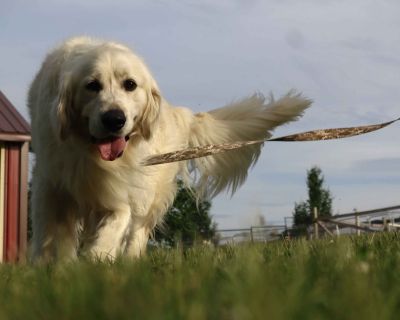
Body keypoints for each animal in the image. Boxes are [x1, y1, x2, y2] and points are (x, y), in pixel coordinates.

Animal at [28, 37, 312, 262]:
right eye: (92, 85)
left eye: (130, 84)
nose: (114, 119)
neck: (90, 152)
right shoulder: (51, 186)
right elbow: (50, 237)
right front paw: (52, 269)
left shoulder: (121, 192)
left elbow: (117, 221)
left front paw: (97, 257)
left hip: (150, 193)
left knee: (137, 232)